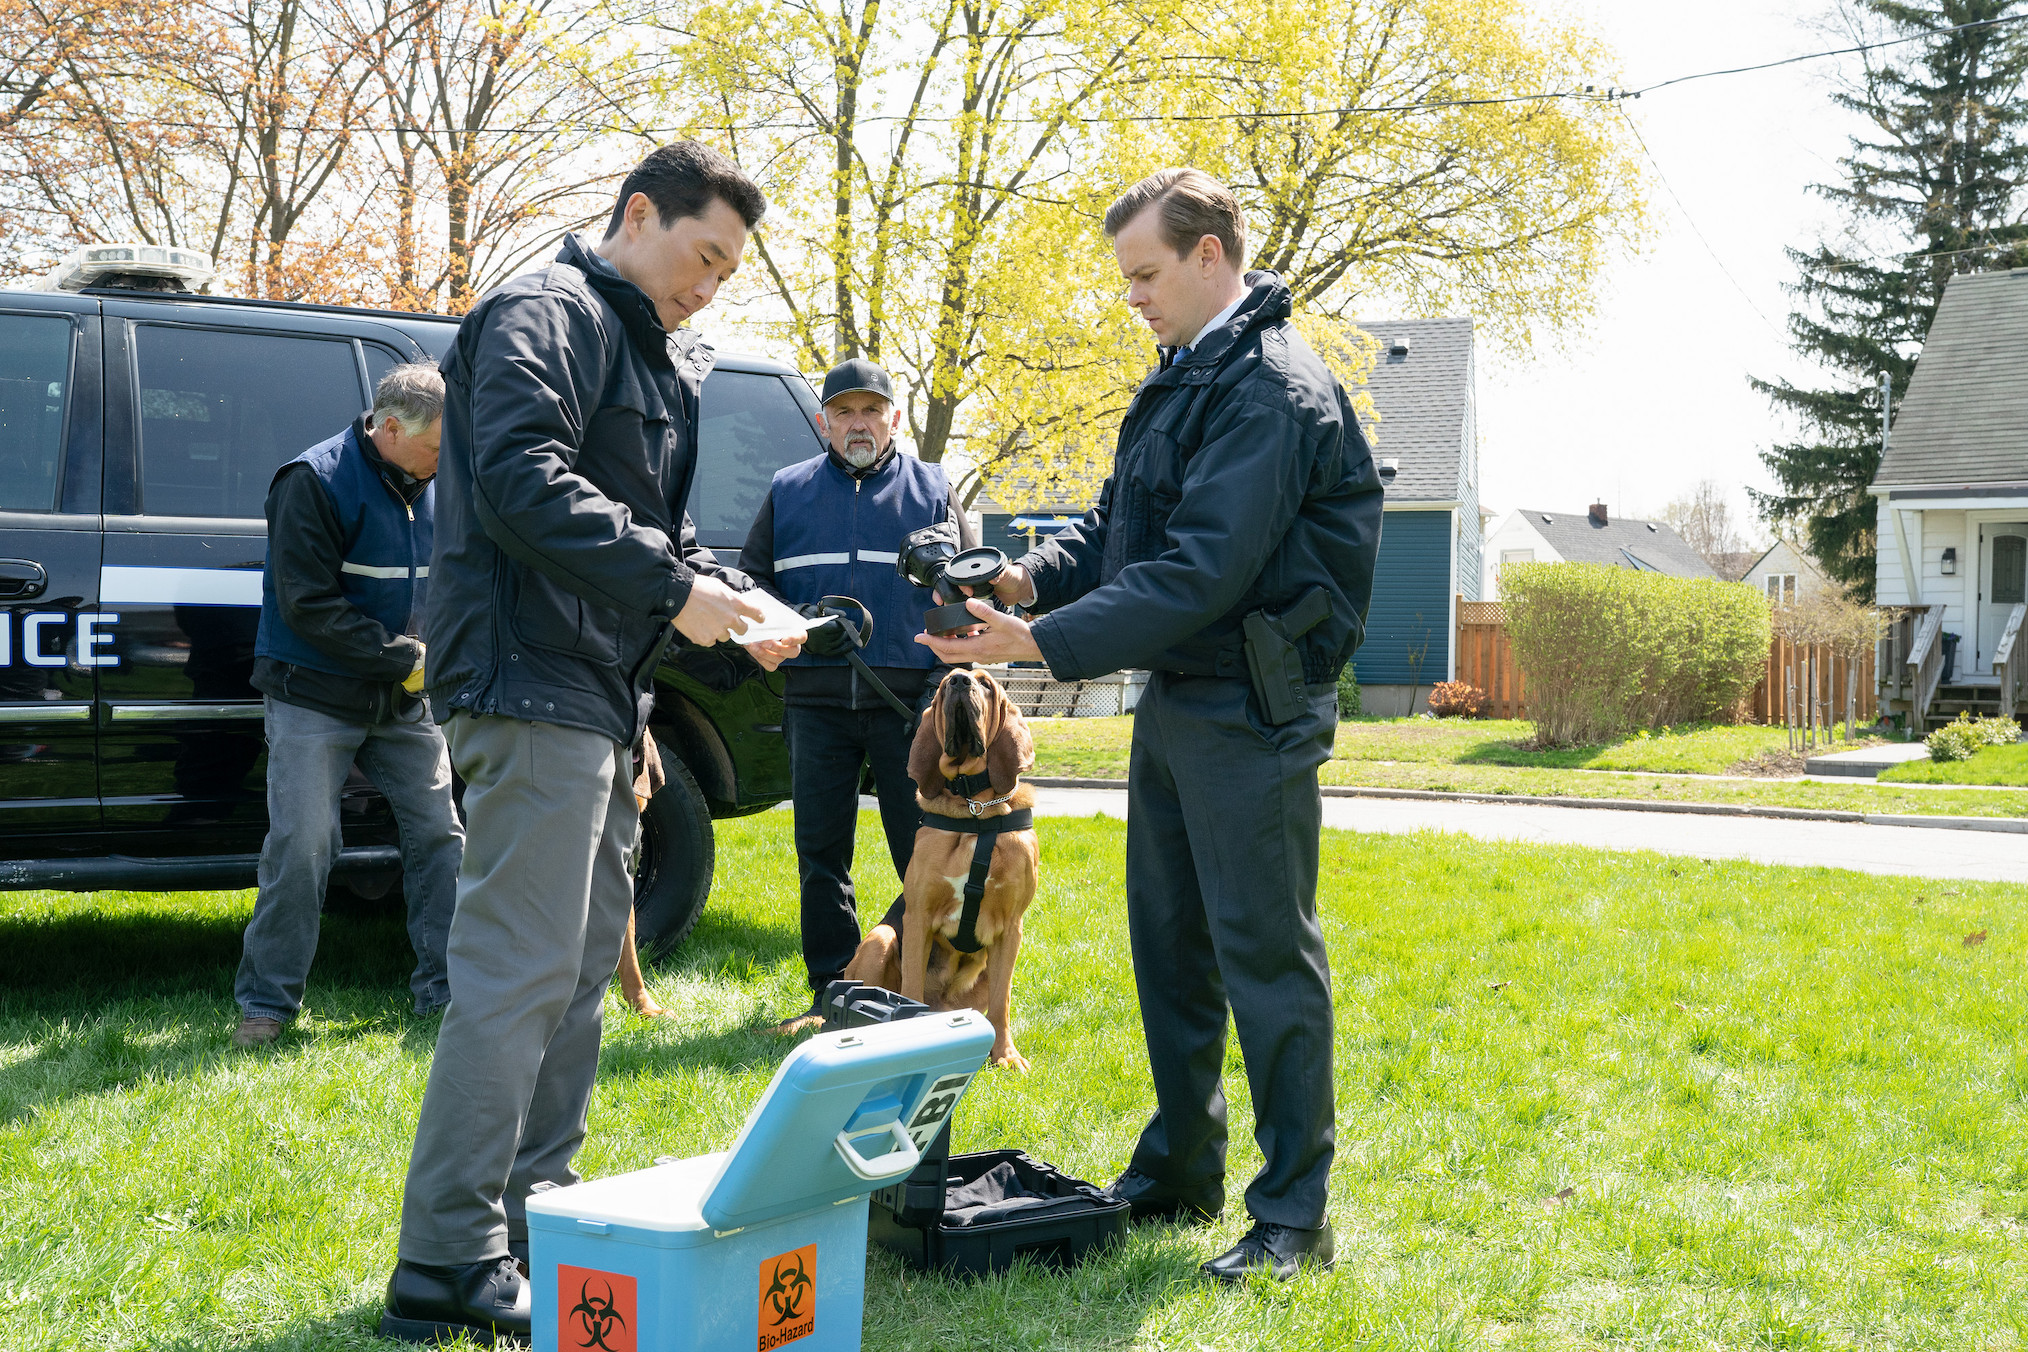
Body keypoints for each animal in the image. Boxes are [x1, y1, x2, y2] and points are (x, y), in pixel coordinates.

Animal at [831, 664, 1038, 1070]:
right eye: (944, 686)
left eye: (985, 684)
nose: (959, 681)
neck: (975, 809)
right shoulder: (919, 918)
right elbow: (909, 990)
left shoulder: (1011, 929)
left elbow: (1002, 1002)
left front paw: (1006, 1056)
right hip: (882, 937)